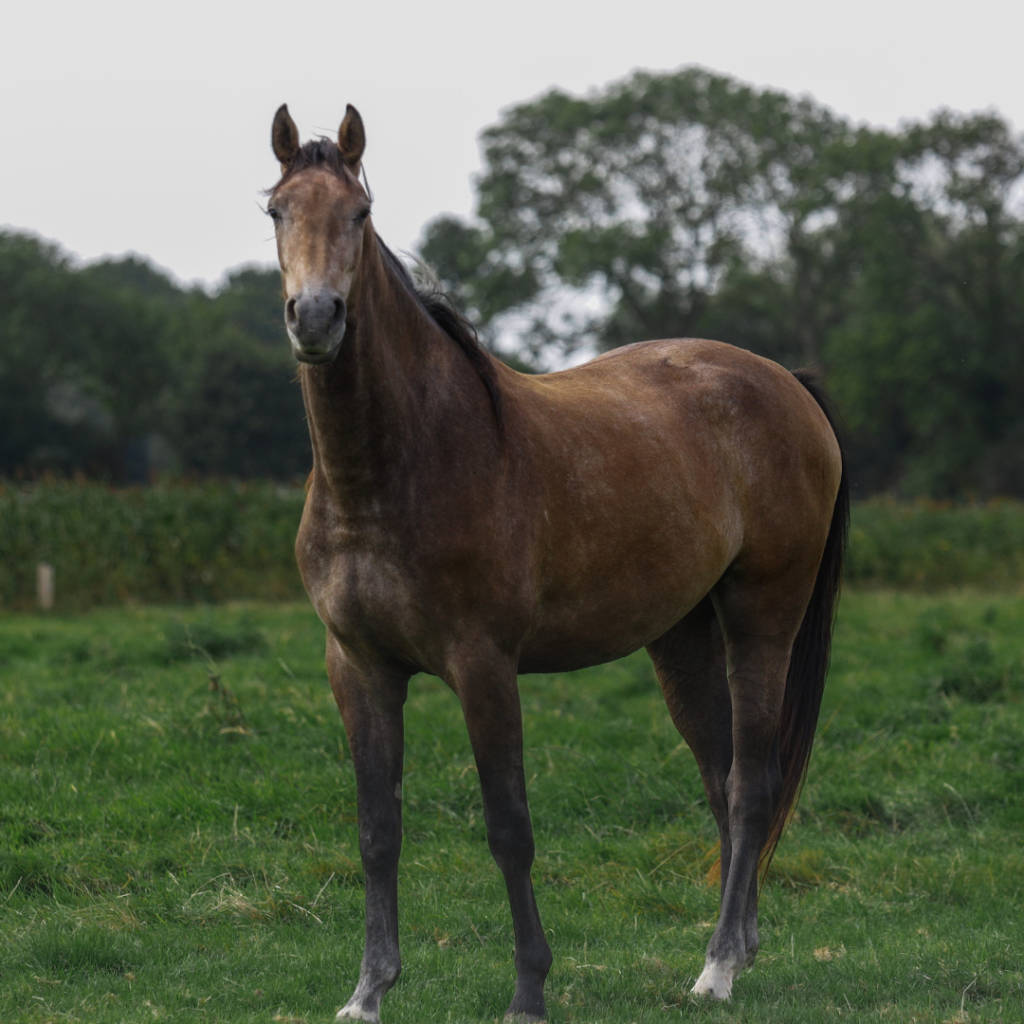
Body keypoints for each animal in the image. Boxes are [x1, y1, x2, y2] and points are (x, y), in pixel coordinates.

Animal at [264, 99, 847, 1019]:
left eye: (360, 213)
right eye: (276, 211)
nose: (315, 318)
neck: (402, 465)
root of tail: (786, 383)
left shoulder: (483, 665)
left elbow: (510, 829)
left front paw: (529, 989)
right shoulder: (357, 666)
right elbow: (377, 830)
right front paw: (367, 991)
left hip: (764, 620)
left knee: (752, 782)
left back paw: (716, 969)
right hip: (681, 637)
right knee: (721, 776)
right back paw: (738, 948)